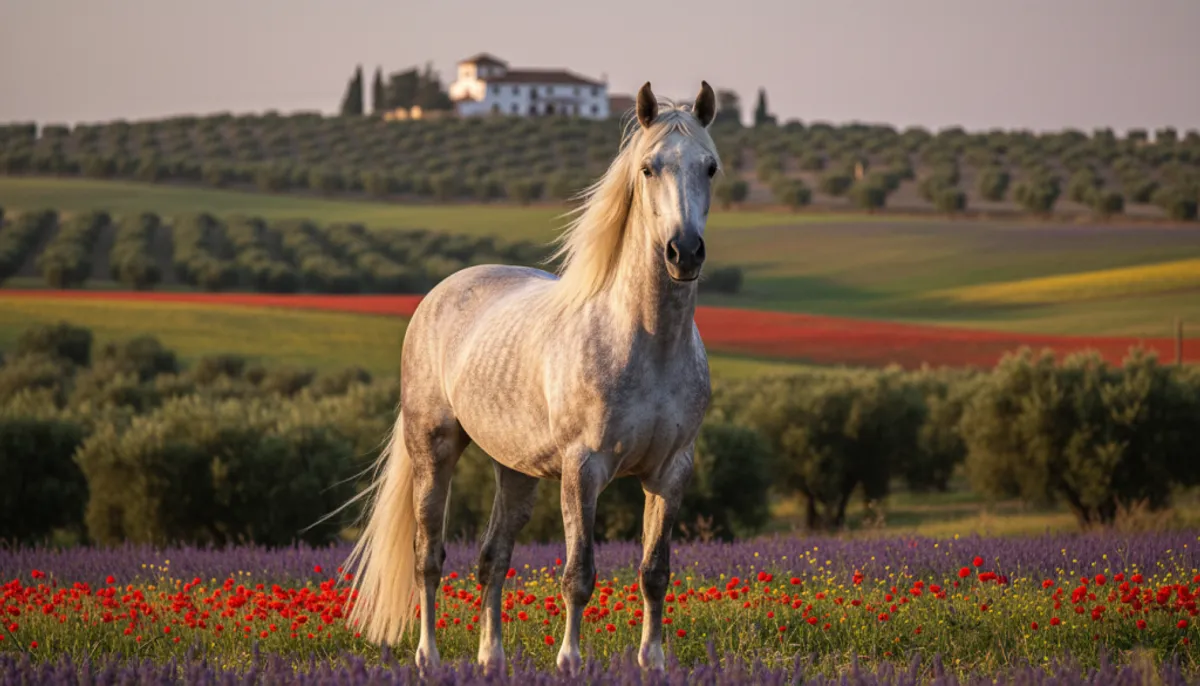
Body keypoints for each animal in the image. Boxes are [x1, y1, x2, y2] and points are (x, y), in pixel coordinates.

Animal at [340, 80, 720, 675]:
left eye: (710, 167)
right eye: (648, 168)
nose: (684, 252)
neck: (648, 341)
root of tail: (443, 291)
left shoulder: (671, 471)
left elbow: (655, 572)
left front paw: (653, 662)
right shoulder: (583, 469)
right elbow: (578, 575)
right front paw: (570, 661)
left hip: (514, 470)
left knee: (492, 559)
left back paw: (490, 659)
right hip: (433, 449)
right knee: (428, 558)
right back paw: (429, 657)